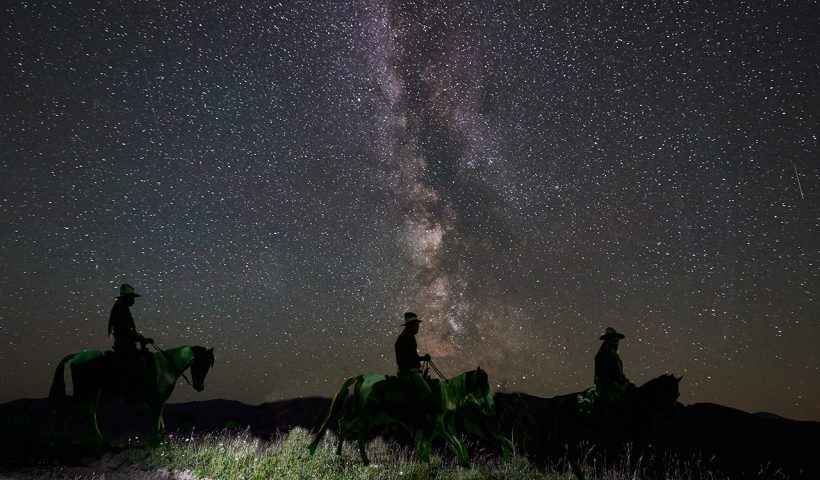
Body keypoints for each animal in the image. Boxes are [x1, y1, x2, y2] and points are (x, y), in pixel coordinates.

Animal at [47, 344, 215, 444]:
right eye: (200, 363)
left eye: (208, 365)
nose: (200, 386)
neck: (167, 366)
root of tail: (76, 356)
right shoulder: (156, 401)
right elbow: (156, 426)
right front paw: (155, 445)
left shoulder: (158, 402)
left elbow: (161, 426)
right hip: (85, 392)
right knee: (70, 411)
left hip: (92, 394)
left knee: (88, 413)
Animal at [308, 368, 496, 464]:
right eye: (483, 384)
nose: (491, 407)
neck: (446, 395)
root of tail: (362, 377)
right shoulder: (439, 425)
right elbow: (455, 443)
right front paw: (464, 463)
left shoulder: (435, 428)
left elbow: (430, 445)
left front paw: (424, 462)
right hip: (368, 414)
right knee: (360, 434)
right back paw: (365, 461)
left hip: (363, 413)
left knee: (345, 424)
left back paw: (339, 454)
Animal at [540, 376, 684, 480]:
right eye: (666, 393)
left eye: (677, 394)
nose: (673, 415)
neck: (641, 405)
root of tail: (558, 399)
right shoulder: (638, 441)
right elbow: (637, 462)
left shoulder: (640, 442)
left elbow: (640, 460)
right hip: (568, 435)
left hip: (567, 436)